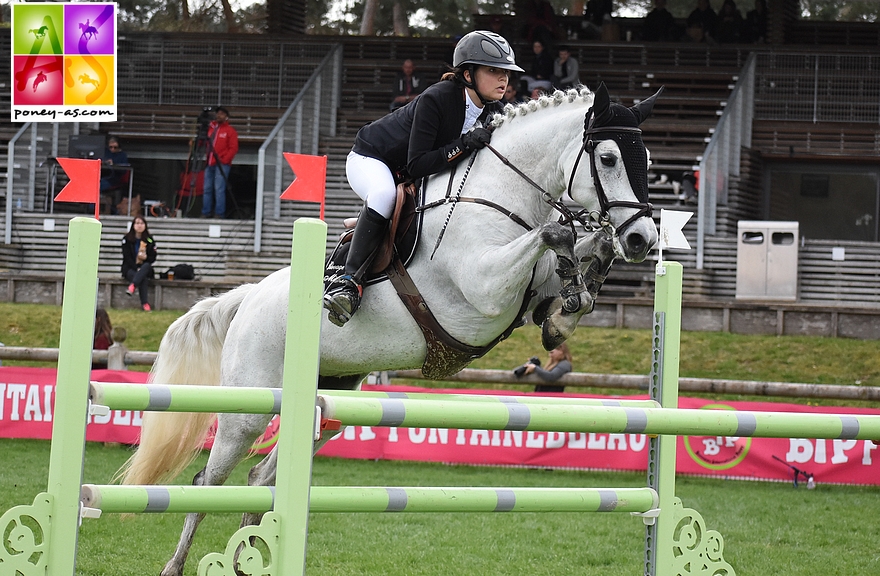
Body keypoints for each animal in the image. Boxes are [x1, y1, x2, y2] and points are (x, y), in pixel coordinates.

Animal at [118, 84, 660, 576]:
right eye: (608, 157)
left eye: (648, 158)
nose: (644, 239)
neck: (498, 196)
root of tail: (247, 296)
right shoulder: (485, 289)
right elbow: (558, 232)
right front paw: (575, 274)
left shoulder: (526, 289)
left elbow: (577, 261)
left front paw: (568, 308)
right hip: (246, 409)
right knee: (207, 481)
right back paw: (176, 565)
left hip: (328, 401)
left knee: (261, 477)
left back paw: (249, 556)